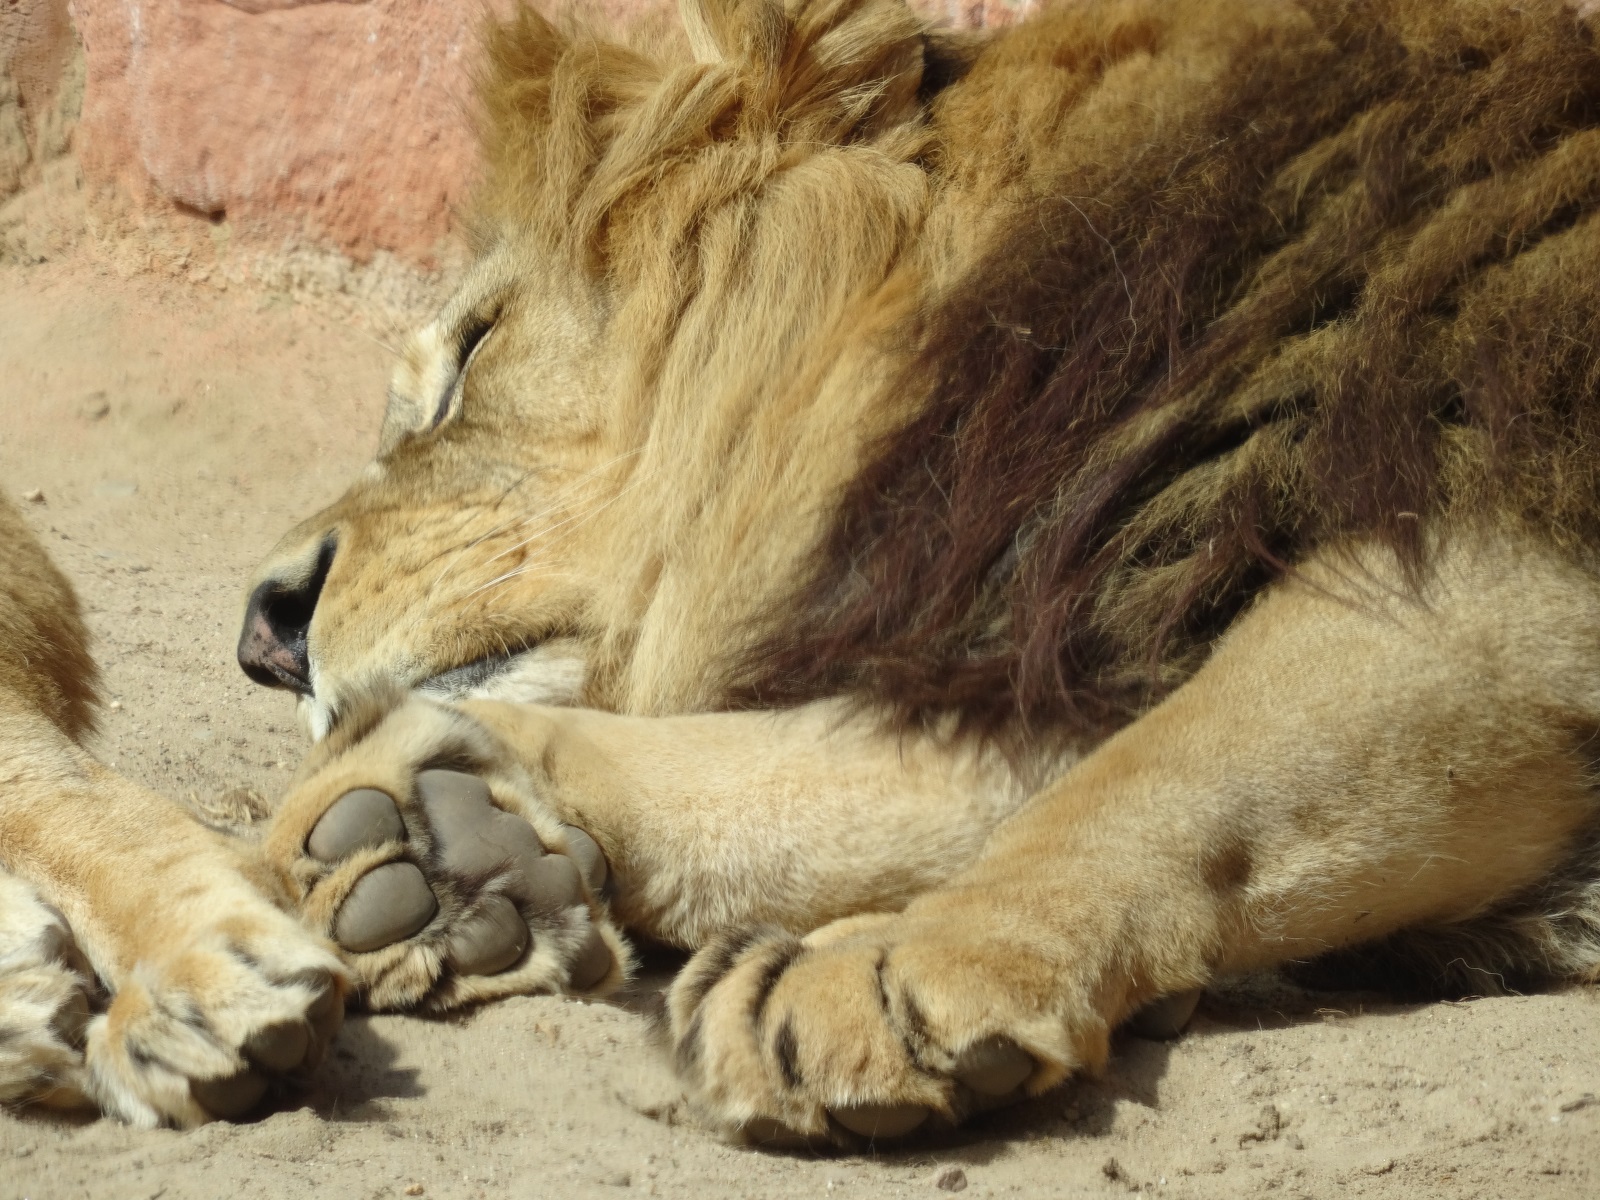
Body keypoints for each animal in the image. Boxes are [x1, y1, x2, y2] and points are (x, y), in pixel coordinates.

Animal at [229, 0, 1600, 1145]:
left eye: (473, 350)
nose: (260, 634)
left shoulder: (1503, 536)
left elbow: (1175, 765)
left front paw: (906, 964)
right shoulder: (1084, 612)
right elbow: (886, 774)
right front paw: (436, 830)